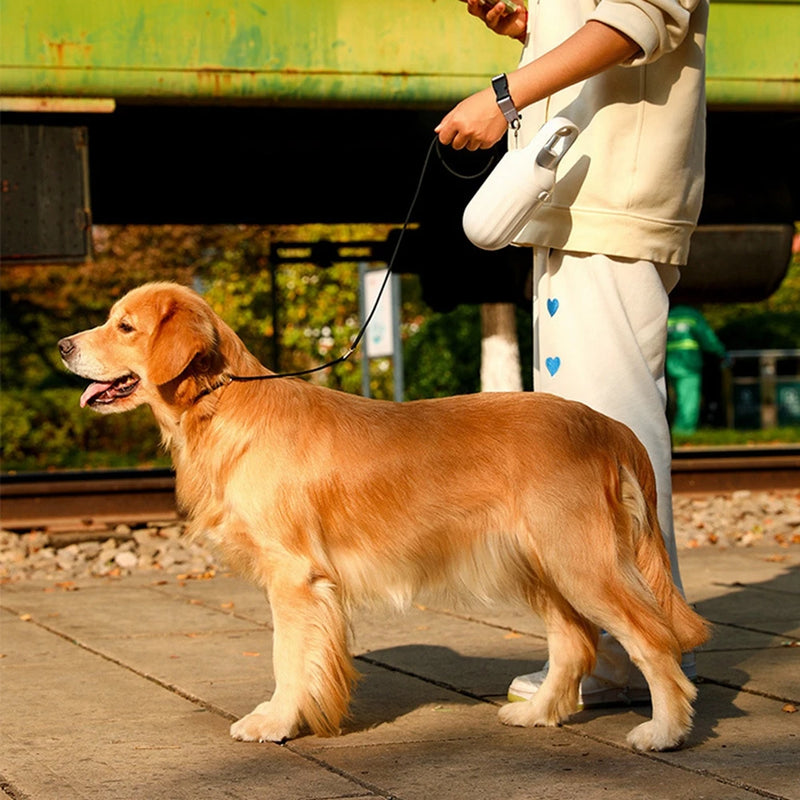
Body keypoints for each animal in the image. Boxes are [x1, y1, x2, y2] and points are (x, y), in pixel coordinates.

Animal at [59, 280, 708, 752]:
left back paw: (664, 731)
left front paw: (274, 722)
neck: (221, 406)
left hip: (582, 562)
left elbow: (288, 657)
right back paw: (538, 714)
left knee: (654, 641)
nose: (64, 346)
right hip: (540, 564)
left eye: (125, 326)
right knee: (575, 644)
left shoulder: (294, 576)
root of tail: (605, 424)